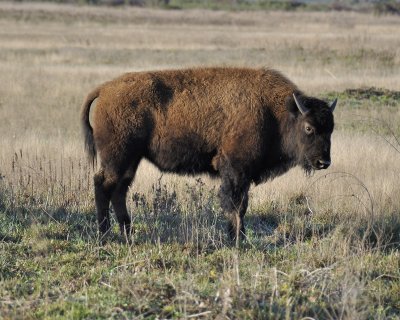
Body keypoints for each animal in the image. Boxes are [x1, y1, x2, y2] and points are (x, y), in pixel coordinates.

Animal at [81, 67, 338, 242]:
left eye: (331, 129)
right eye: (309, 128)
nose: (323, 162)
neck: (277, 112)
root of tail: (104, 90)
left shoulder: (241, 174)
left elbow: (240, 204)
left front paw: (237, 236)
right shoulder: (235, 170)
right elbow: (236, 204)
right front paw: (237, 238)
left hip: (131, 160)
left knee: (119, 190)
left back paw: (127, 233)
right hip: (118, 157)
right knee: (103, 185)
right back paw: (105, 235)